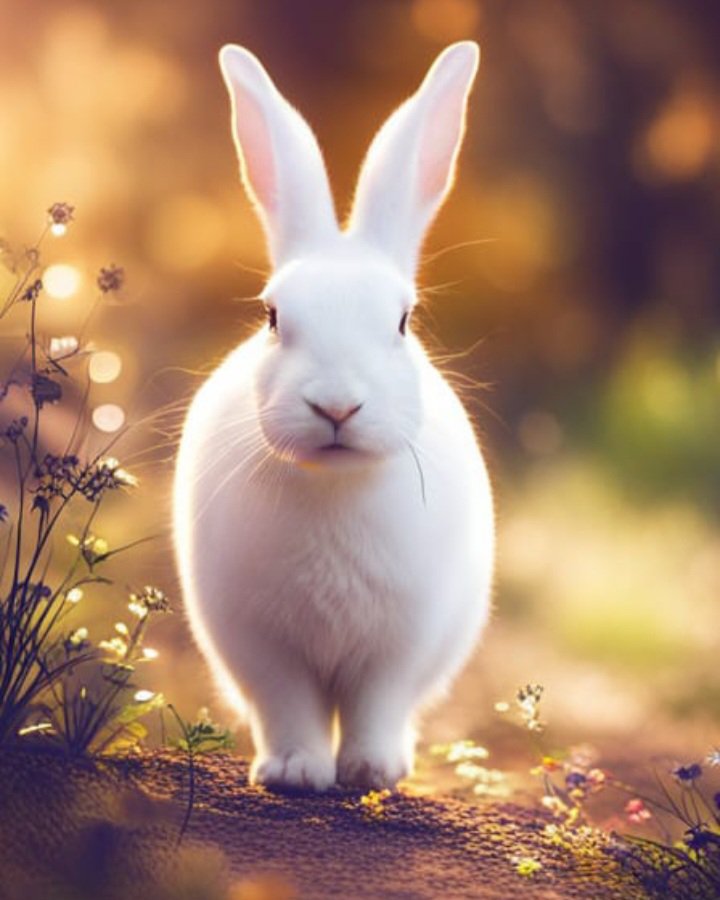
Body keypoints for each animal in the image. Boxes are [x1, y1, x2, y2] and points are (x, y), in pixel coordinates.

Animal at [173, 40, 494, 792]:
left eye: (403, 321)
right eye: (272, 316)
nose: (337, 405)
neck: (335, 485)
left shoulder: (398, 647)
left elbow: (377, 705)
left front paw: (372, 771)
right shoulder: (263, 648)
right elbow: (289, 707)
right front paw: (294, 773)